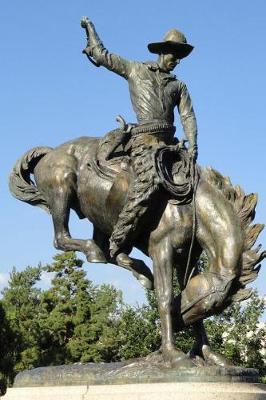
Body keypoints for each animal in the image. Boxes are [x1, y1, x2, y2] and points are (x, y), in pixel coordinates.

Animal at [9, 133, 264, 368]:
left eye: (213, 308)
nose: (179, 321)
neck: (190, 208)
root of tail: (51, 152)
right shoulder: (162, 250)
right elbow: (164, 298)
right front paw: (173, 354)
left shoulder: (187, 259)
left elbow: (188, 305)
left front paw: (208, 355)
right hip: (62, 191)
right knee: (64, 240)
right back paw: (105, 257)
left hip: (99, 217)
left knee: (108, 249)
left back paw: (138, 271)